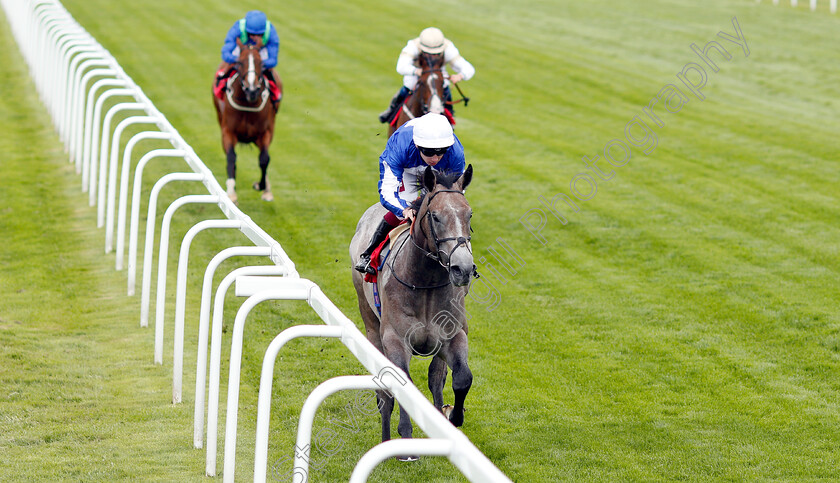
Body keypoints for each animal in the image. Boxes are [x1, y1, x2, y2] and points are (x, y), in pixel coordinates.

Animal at [212, 37, 280, 202]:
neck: (248, 103)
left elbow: (264, 159)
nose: (252, 90)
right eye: (240, 62)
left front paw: (261, 186)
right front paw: (231, 192)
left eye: (261, 62)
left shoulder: (265, 133)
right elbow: (231, 157)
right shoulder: (227, 131)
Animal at [350, 166, 476, 462]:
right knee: (384, 393)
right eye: (435, 216)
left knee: (436, 378)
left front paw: (453, 418)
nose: (463, 268)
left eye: (469, 215)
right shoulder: (395, 340)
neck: (426, 282)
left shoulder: (453, 335)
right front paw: (405, 439)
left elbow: (461, 377)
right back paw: (387, 439)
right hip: (371, 325)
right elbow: (401, 384)